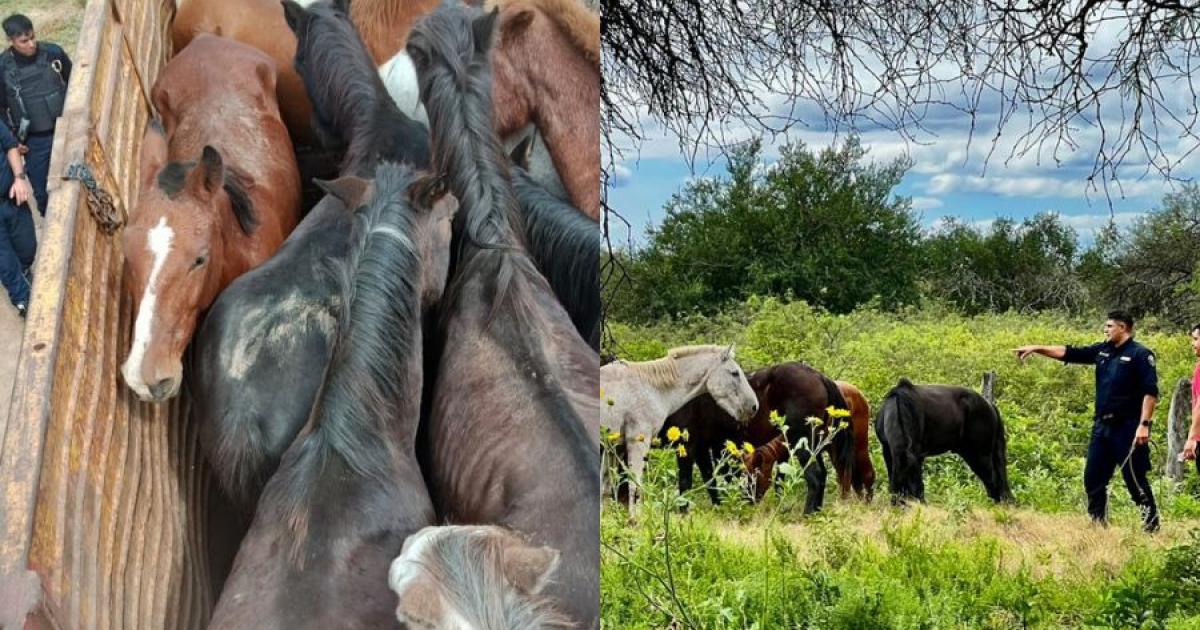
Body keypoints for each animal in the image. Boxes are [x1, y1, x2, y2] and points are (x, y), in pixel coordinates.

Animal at [602, 345, 759, 516]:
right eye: (734, 373)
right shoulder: (637, 443)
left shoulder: (613, 447)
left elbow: (606, 488)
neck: (651, 389)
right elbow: (634, 487)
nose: (754, 406)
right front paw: (634, 519)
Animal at [875, 378, 1014, 504]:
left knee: (992, 480)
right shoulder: (888, 451)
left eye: (916, 472)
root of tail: (989, 405)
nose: (918, 502)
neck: (900, 406)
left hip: (980, 454)